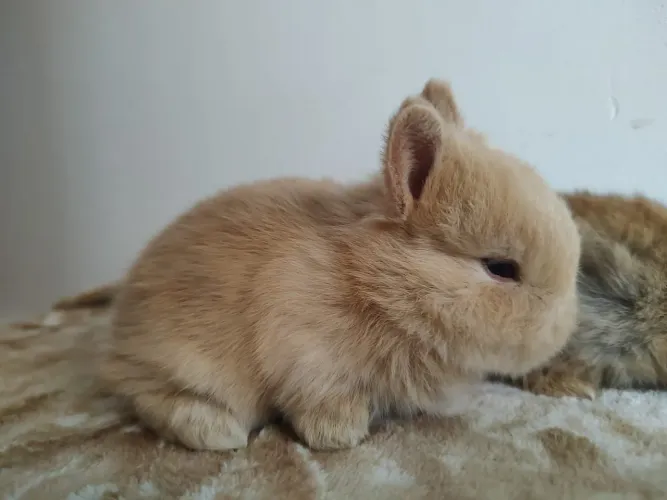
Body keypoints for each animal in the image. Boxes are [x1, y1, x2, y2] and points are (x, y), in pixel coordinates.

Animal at [100, 79, 581, 452]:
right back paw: (219, 432)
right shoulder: (308, 358)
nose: (562, 332)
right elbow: (320, 403)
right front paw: (341, 435)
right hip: (182, 360)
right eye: (501, 268)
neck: (375, 284)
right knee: (147, 395)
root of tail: (121, 327)